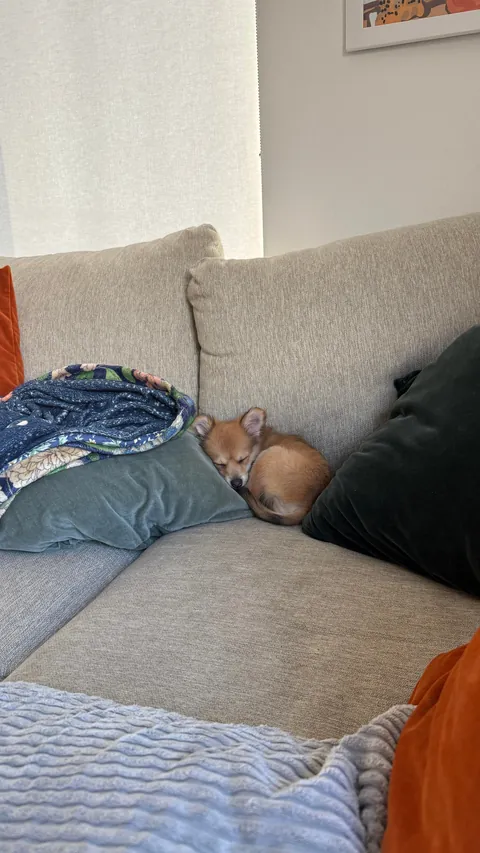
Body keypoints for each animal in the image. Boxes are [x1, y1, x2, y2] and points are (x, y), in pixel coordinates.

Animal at [192, 407, 331, 526]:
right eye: (220, 464)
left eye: (243, 459)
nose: (236, 483)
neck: (257, 445)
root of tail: (308, 505)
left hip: (267, 456)